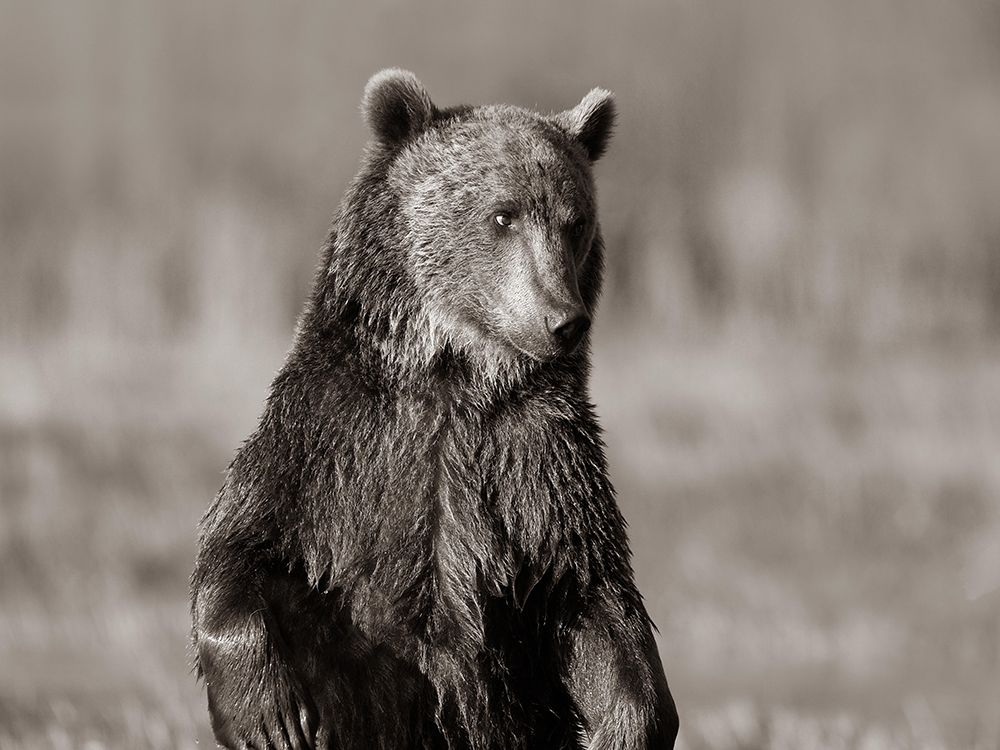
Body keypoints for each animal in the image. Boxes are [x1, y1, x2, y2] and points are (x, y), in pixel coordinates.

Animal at [191, 69, 678, 750]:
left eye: (575, 221)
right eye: (503, 214)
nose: (563, 320)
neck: (454, 374)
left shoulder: (541, 466)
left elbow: (593, 595)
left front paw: (623, 726)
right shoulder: (331, 440)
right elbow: (242, 546)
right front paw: (272, 715)